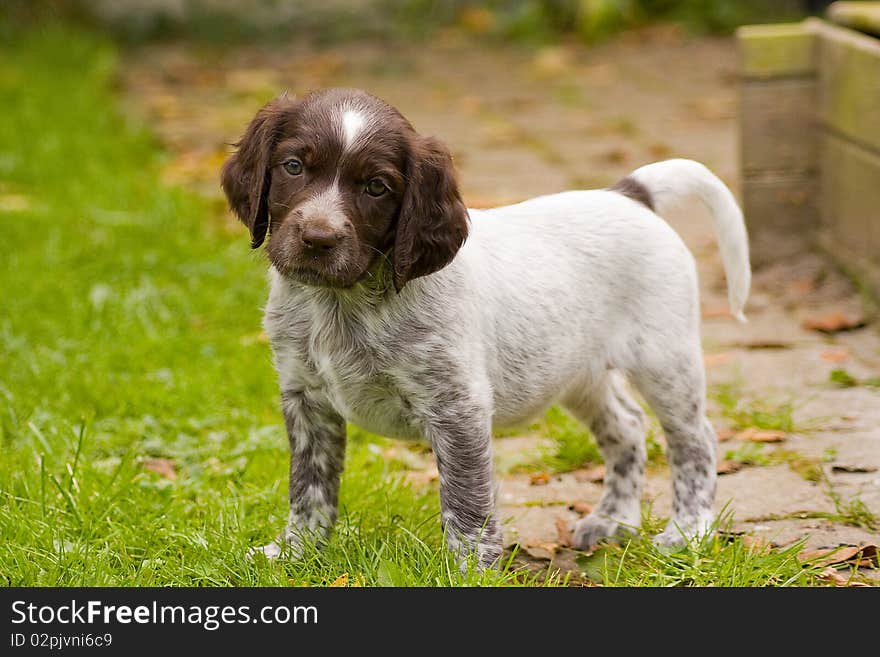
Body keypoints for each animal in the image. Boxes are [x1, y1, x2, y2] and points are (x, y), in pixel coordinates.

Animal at [220, 88, 748, 568]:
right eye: (293, 166)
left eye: (376, 187)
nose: (318, 238)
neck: (342, 303)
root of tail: (628, 195)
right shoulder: (306, 398)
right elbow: (309, 487)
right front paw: (295, 553)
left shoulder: (457, 407)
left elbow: (466, 500)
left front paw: (470, 568)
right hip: (576, 371)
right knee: (627, 427)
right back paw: (613, 521)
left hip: (665, 359)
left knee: (694, 440)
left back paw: (687, 531)